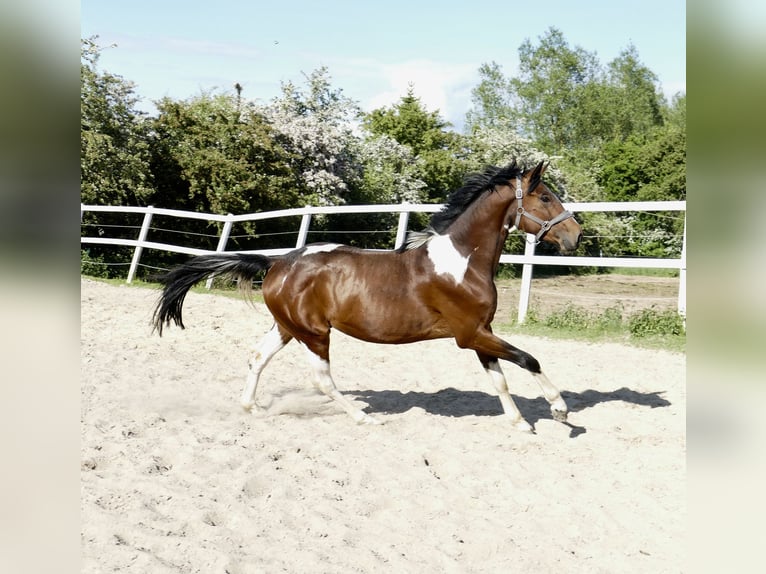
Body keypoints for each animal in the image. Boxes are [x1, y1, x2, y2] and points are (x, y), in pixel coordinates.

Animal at [152, 160, 582, 432]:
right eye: (545, 197)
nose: (575, 236)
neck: (461, 263)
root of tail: (277, 262)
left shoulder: (480, 332)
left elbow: (500, 381)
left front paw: (520, 423)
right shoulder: (469, 334)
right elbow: (528, 358)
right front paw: (560, 411)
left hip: (287, 327)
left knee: (257, 357)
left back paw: (251, 407)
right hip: (315, 333)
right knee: (323, 381)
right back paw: (365, 419)